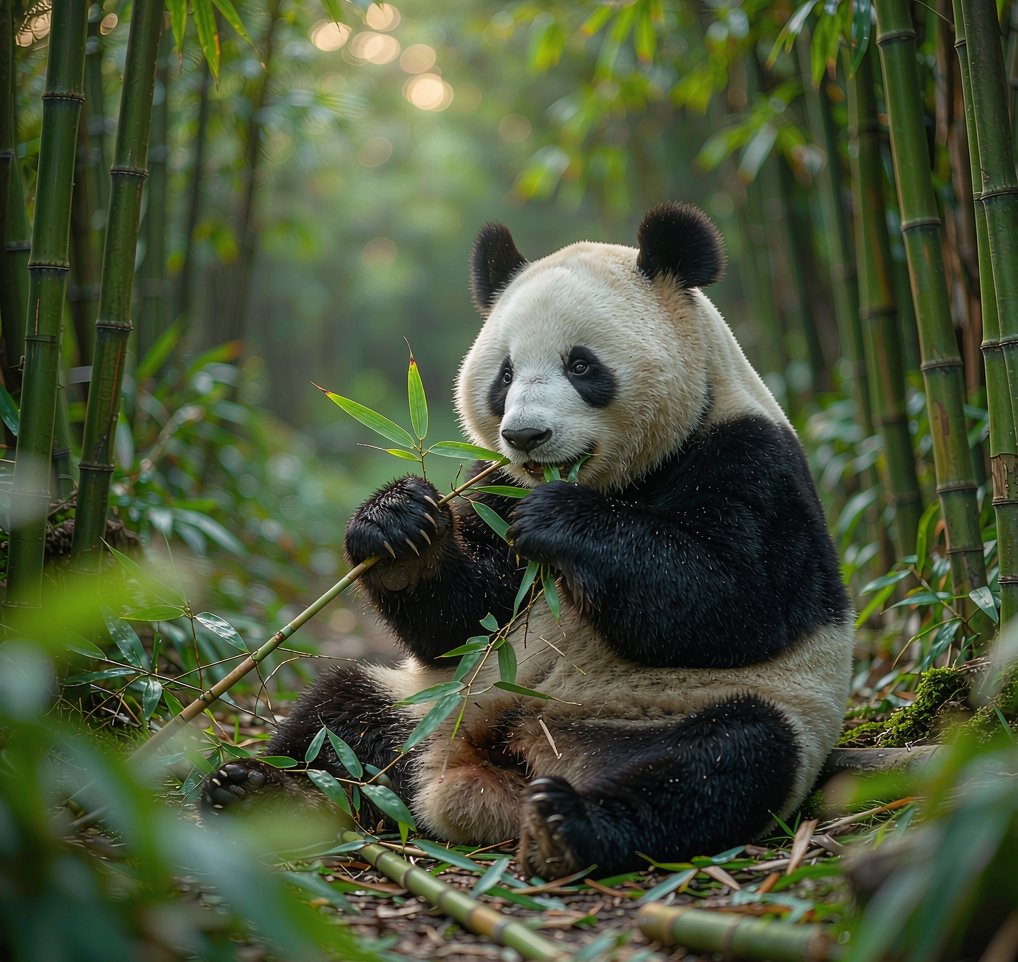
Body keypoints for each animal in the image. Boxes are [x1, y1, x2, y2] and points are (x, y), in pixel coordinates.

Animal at [202, 202, 854, 878]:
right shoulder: (496, 487)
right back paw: (262, 792)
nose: (525, 436)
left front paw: (561, 520)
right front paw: (399, 524)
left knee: (722, 763)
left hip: (690, 712)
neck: (621, 478)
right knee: (339, 714)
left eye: (581, 365)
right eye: (505, 375)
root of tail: (491, 759)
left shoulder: (752, 459)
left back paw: (567, 826)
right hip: (427, 700)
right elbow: (465, 619)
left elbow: (735, 598)